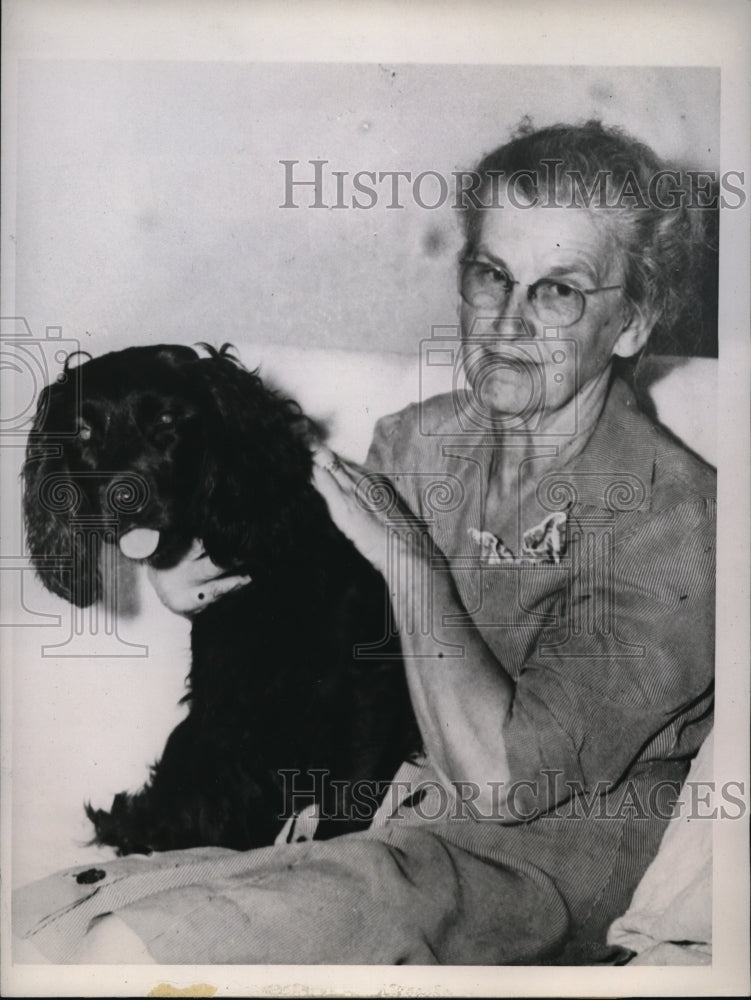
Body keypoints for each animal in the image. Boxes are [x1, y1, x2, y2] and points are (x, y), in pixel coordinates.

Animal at [23, 342, 420, 852]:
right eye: (84, 431)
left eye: (167, 418)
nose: (123, 498)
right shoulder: (227, 703)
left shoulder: (366, 684)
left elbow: (348, 796)